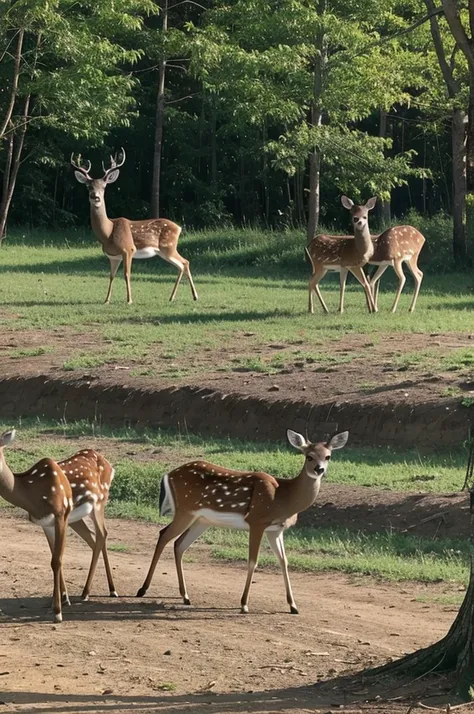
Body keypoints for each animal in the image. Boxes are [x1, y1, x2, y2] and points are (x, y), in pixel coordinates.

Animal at [0, 426, 72, 620]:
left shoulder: (60, 514)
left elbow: (57, 560)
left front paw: (58, 613)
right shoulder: (45, 523)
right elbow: (55, 559)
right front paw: (58, 603)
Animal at [69, 149, 197, 304]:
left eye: (104, 187)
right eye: (88, 187)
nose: (95, 197)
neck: (108, 232)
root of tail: (179, 227)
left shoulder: (128, 249)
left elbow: (126, 274)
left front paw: (129, 300)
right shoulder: (113, 256)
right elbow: (111, 276)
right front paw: (106, 300)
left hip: (168, 246)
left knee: (185, 262)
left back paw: (194, 296)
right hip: (163, 251)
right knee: (181, 265)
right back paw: (173, 297)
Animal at [136, 426, 348, 616]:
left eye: (328, 456)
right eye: (308, 456)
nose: (319, 469)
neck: (283, 497)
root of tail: (168, 474)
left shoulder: (276, 529)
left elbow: (284, 561)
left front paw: (293, 606)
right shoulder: (257, 521)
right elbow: (253, 562)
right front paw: (244, 604)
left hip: (201, 520)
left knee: (179, 544)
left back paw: (185, 596)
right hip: (185, 510)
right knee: (164, 535)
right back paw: (143, 589)